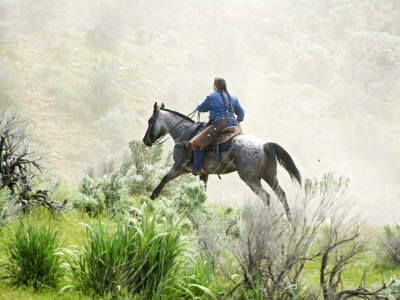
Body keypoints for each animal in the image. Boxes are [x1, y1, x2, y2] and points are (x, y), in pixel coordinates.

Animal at [142, 102, 302, 219]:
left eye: (150, 120)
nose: (145, 141)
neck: (185, 134)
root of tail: (263, 145)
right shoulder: (203, 174)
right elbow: (202, 192)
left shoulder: (178, 167)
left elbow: (164, 179)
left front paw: (151, 198)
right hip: (270, 176)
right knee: (281, 194)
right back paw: (290, 221)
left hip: (251, 179)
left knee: (265, 196)